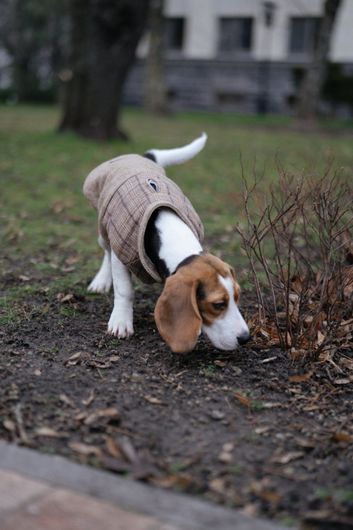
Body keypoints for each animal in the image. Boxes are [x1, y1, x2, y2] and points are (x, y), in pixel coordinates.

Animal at [83, 134, 249, 352]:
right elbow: (124, 290)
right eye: (218, 304)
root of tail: (141, 157)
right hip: (104, 228)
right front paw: (120, 321)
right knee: (107, 251)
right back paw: (101, 281)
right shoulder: (122, 254)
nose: (246, 338)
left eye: (238, 297)